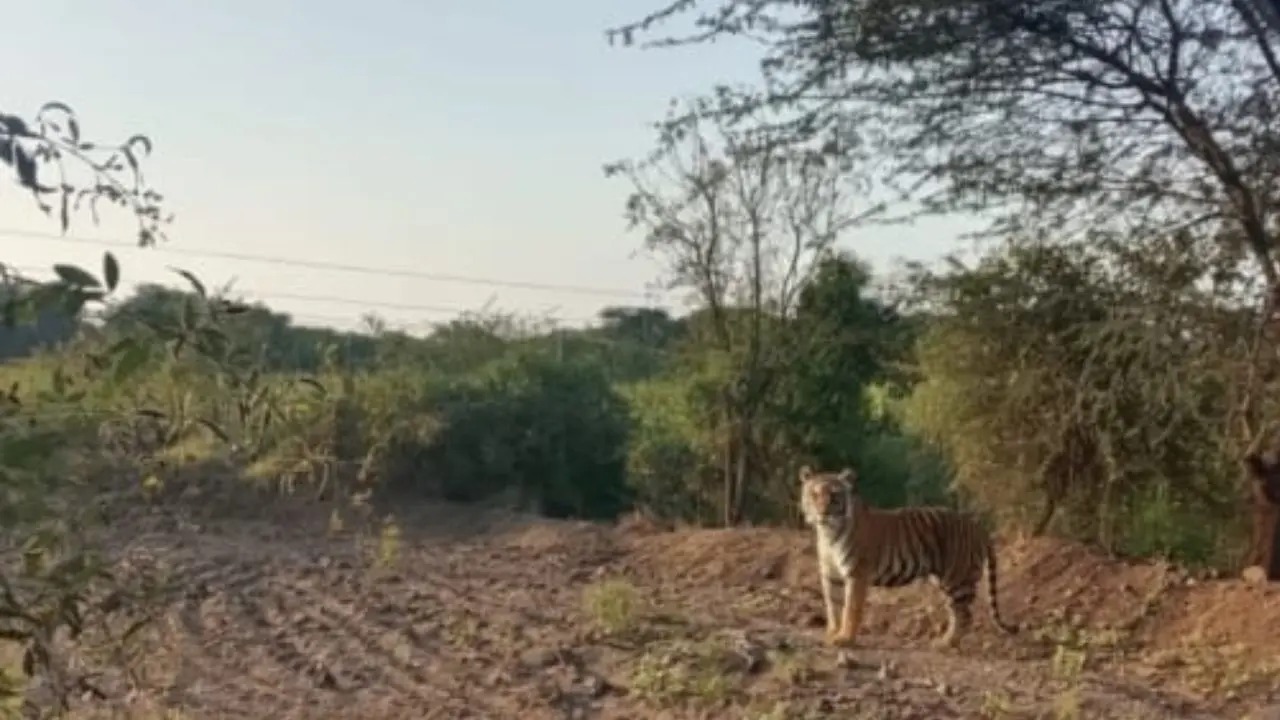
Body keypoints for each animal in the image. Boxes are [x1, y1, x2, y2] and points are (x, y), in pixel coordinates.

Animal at [798, 465, 1019, 648]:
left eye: (834, 496)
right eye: (814, 494)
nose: (823, 512)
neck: (828, 533)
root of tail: (977, 526)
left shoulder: (856, 574)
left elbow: (850, 609)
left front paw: (845, 639)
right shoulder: (831, 575)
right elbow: (833, 607)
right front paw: (832, 634)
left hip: (958, 579)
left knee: (965, 616)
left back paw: (946, 643)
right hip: (945, 581)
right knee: (957, 613)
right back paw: (945, 640)